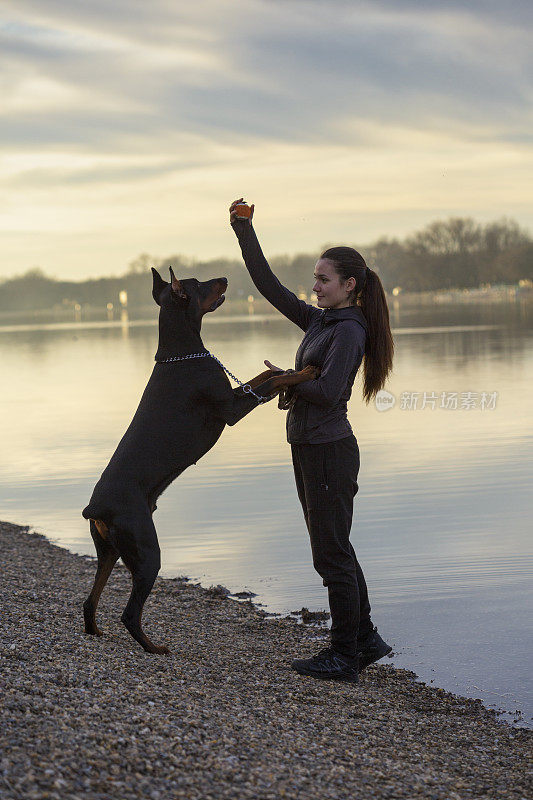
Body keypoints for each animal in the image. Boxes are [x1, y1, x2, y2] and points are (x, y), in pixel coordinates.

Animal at [81, 266, 318, 652]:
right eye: (198, 283)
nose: (225, 276)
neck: (182, 353)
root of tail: (95, 508)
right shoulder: (231, 409)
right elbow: (272, 381)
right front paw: (306, 372)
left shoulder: (237, 394)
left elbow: (268, 375)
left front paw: (287, 370)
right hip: (146, 551)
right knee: (129, 613)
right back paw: (155, 648)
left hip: (109, 550)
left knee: (90, 600)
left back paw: (97, 631)